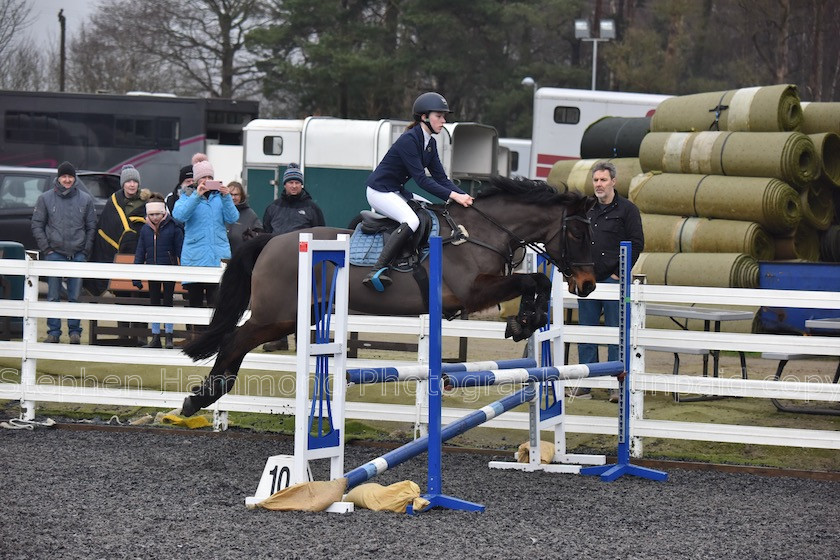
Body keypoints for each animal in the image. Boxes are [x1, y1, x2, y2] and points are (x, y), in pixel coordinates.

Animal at [179, 175, 596, 416]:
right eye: (578, 233)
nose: (588, 284)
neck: (478, 231)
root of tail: (270, 240)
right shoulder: (471, 292)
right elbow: (531, 282)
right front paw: (523, 321)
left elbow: (538, 284)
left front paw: (526, 321)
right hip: (277, 315)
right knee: (235, 340)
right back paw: (200, 398)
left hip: (300, 314)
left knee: (237, 341)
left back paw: (205, 396)